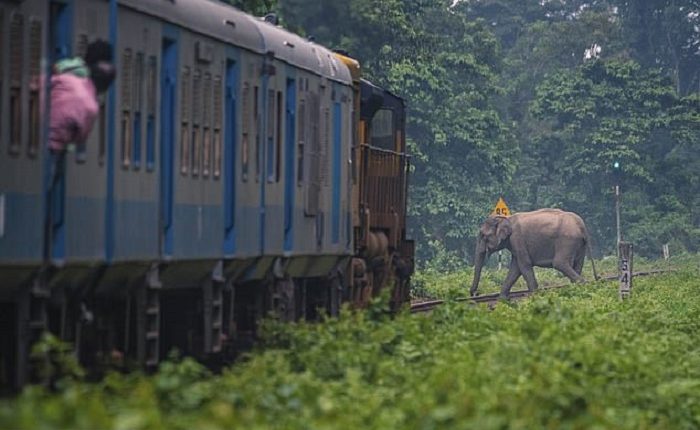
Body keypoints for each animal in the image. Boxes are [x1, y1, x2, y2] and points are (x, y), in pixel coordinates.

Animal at [470, 209, 598, 298]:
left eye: (483, 236)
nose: (475, 293)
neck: (506, 218)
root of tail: (581, 225)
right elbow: (515, 269)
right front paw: (502, 299)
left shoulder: (517, 239)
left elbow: (524, 265)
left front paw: (535, 296)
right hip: (580, 245)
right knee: (578, 265)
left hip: (567, 241)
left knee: (559, 263)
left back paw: (581, 285)